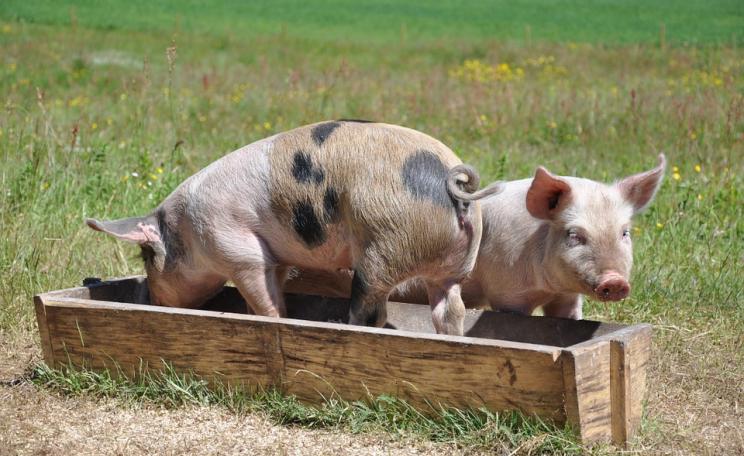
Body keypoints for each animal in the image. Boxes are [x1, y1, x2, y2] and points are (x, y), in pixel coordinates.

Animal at [86, 121, 502, 335]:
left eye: (146, 256)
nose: (154, 301)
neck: (187, 231)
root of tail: (453, 181)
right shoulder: (278, 257)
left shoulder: (239, 250)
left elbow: (265, 299)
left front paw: (273, 322)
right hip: (452, 268)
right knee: (450, 309)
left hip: (383, 248)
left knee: (371, 310)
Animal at [395, 154, 666, 319]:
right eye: (574, 235)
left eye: (624, 232)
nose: (615, 281)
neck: (546, 288)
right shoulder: (506, 293)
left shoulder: (567, 297)